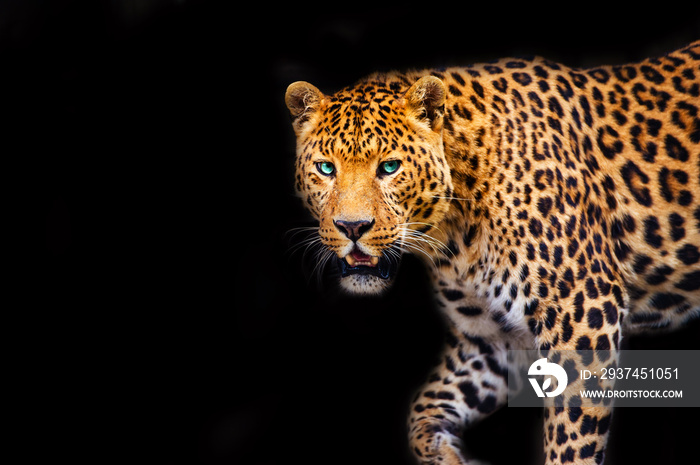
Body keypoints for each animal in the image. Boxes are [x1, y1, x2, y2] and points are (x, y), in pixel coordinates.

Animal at [284, 40, 700, 464]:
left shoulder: (585, 315)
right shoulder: (491, 341)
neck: (454, 235)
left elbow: (570, 440)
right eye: (325, 168)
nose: (352, 228)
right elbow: (422, 413)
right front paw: (448, 455)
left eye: (389, 167)